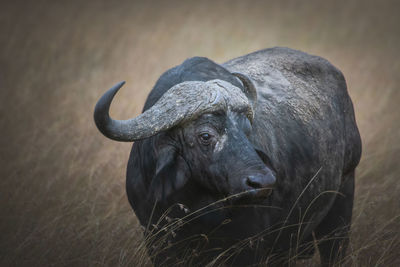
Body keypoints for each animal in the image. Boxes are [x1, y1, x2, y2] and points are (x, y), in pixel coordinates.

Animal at [94, 47, 362, 266]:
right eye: (205, 135)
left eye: (247, 130)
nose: (263, 182)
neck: (196, 204)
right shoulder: (157, 240)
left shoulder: (250, 246)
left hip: (341, 204)